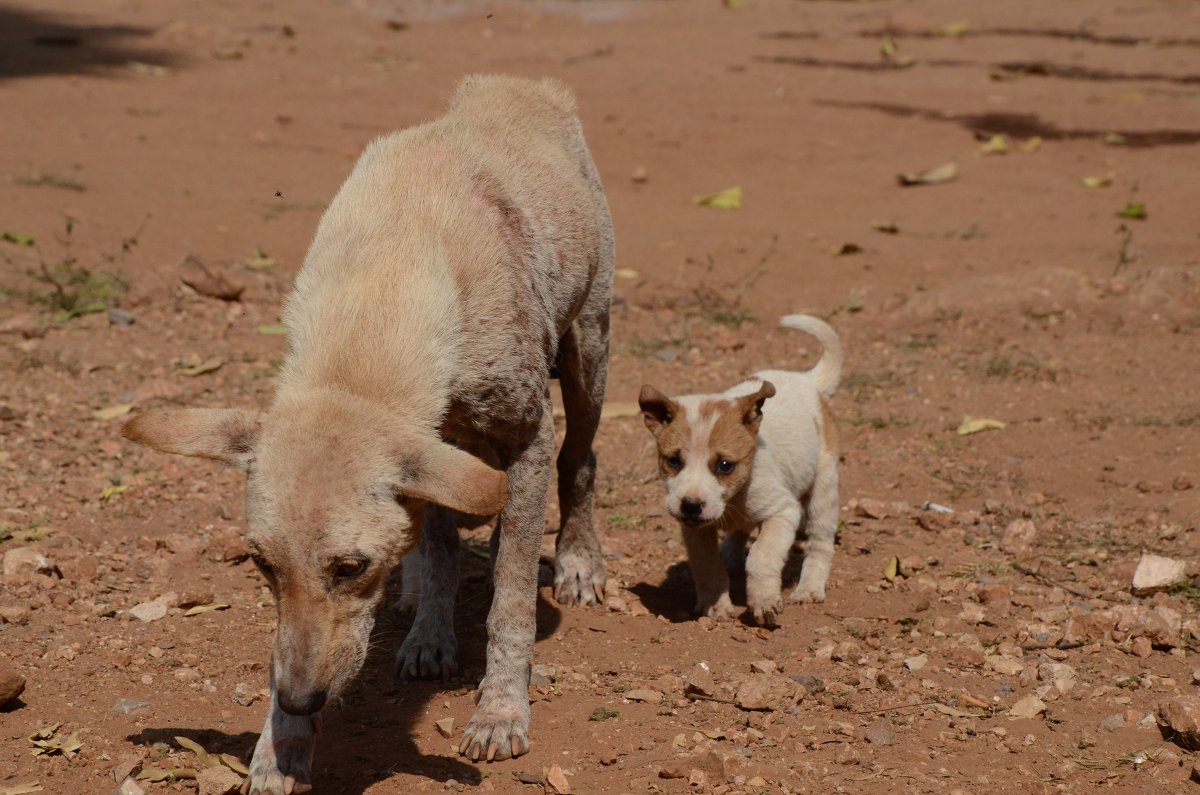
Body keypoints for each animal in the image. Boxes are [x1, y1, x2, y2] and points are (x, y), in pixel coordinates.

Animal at [124, 76, 609, 795]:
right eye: (261, 564)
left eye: (349, 567)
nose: (299, 700)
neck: (388, 276)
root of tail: (515, 84)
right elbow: (417, 561)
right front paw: (280, 746)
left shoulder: (525, 441)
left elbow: (512, 603)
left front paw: (500, 710)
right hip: (447, 452)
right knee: (440, 542)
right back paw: (427, 627)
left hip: (588, 355)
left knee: (581, 461)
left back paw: (576, 560)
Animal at [638, 317, 844, 629]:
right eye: (673, 461)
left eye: (725, 465)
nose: (690, 505)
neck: (734, 498)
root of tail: (806, 380)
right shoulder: (695, 530)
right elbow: (707, 566)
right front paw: (715, 604)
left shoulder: (783, 512)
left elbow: (761, 556)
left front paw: (763, 601)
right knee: (740, 532)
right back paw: (731, 553)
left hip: (823, 489)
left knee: (820, 543)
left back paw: (809, 587)